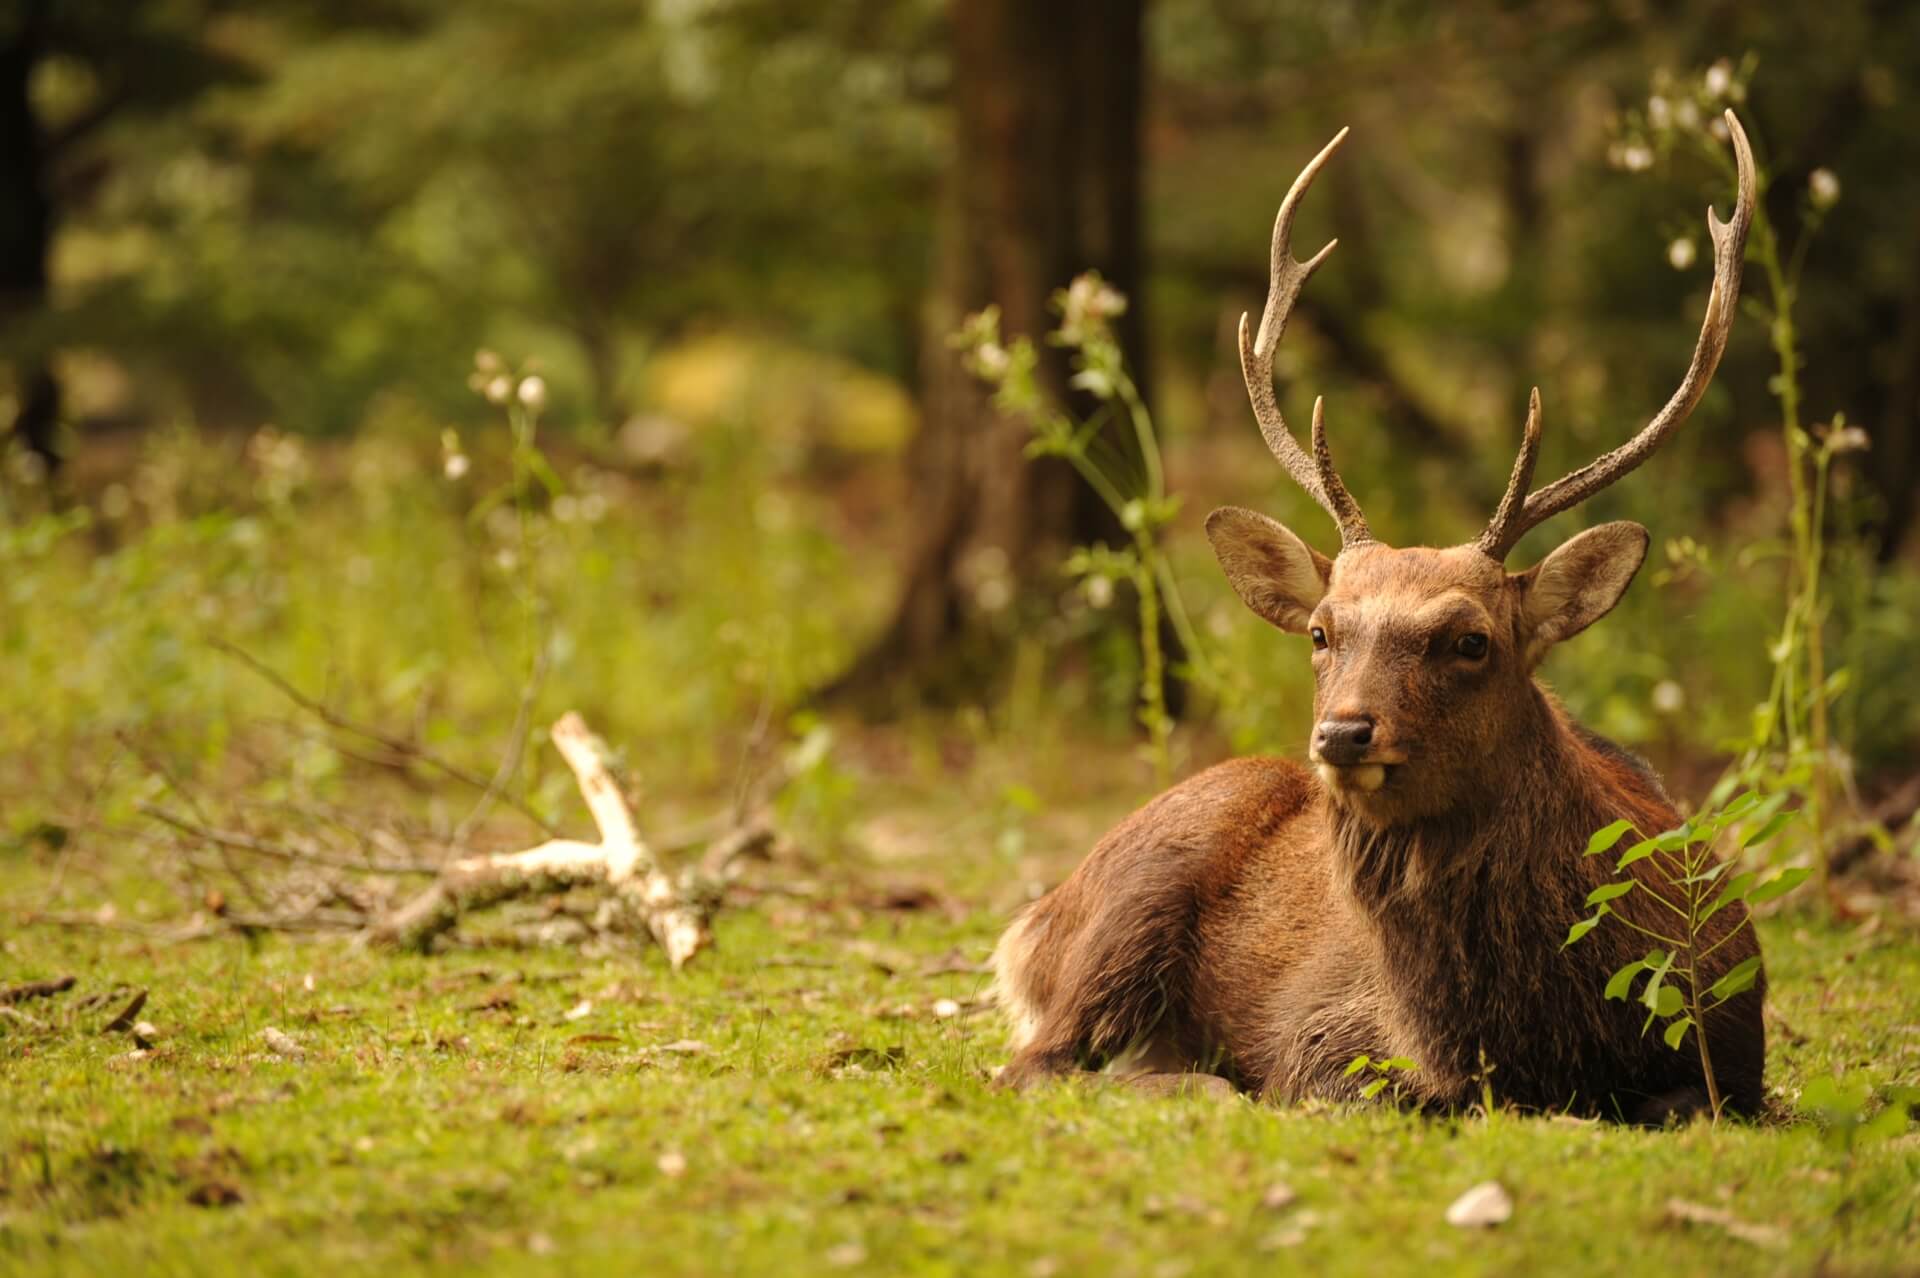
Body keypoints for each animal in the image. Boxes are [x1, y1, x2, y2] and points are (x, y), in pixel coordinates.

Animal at [998, 114, 1758, 1120]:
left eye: (1471, 640)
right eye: (1322, 632)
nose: (1344, 733)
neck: (1537, 1038)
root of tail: (1030, 924)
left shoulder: (1733, 1054)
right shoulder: (1325, 1030)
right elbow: (1339, 1086)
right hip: (1141, 883)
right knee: (1036, 1062)